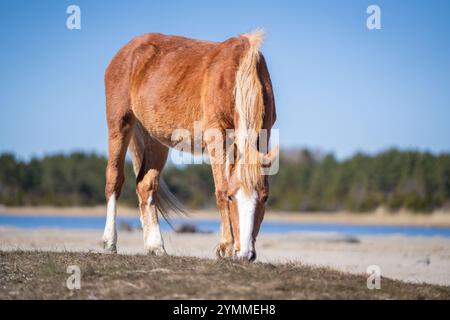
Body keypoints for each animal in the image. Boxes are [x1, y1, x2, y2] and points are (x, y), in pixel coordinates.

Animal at [103, 30, 278, 262]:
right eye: (232, 197)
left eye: (265, 198)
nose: (245, 255)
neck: (238, 72)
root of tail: (126, 51)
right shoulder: (217, 136)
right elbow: (220, 188)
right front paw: (226, 247)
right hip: (120, 123)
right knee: (114, 180)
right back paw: (109, 242)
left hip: (156, 139)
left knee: (146, 185)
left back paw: (155, 247)